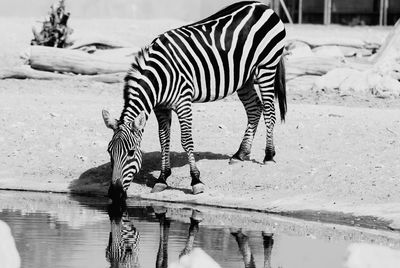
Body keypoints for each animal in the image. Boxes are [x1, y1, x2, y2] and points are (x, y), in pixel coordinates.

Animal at [101, 1, 286, 200]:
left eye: (131, 153)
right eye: (109, 152)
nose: (114, 194)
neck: (160, 75)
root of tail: (263, 6)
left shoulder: (183, 102)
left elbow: (186, 140)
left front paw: (196, 181)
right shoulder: (161, 107)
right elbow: (164, 139)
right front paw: (162, 178)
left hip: (267, 67)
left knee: (269, 111)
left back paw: (269, 156)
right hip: (245, 78)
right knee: (254, 109)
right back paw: (240, 154)